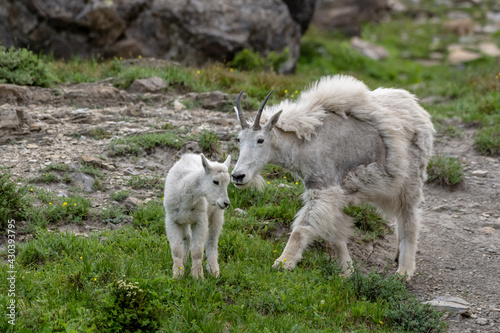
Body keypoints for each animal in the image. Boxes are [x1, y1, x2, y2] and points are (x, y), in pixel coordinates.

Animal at [232, 74, 436, 278]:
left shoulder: (324, 189)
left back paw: (405, 271)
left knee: (409, 219)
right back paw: (396, 255)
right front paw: (347, 271)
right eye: (239, 139)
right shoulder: (334, 193)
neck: (304, 145)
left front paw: (283, 263)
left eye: (260, 140)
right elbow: (336, 235)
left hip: (410, 180)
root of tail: (419, 110)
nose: (237, 176)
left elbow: (302, 229)